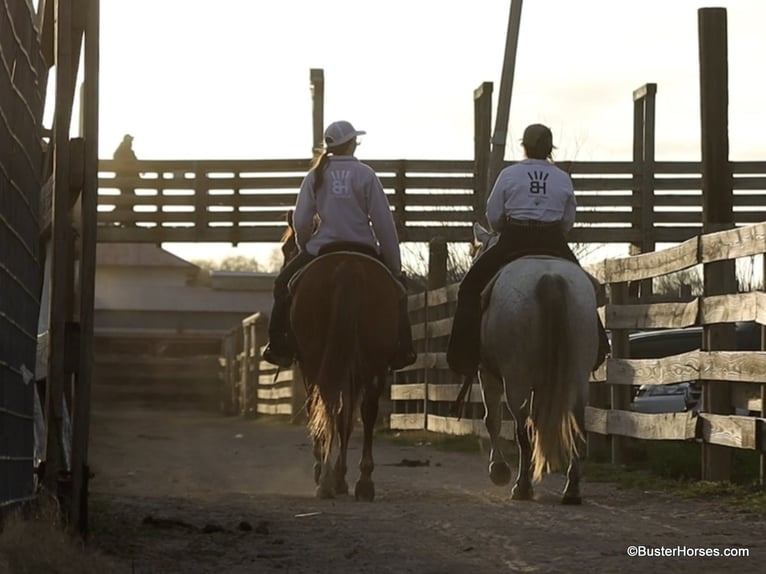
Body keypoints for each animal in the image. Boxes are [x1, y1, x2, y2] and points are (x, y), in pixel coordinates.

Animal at [282, 216, 403, 500]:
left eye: (285, 249)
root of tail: (349, 266)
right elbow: (345, 420)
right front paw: (340, 476)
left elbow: (333, 415)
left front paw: (330, 473)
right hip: (372, 363)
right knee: (366, 411)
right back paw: (363, 481)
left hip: (316, 359)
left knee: (324, 404)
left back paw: (326, 478)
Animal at [472, 222, 598, 504]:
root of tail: (550, 279)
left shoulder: (487, 373)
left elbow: (492, 419)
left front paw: (498, 470)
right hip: (576, 375)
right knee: (575, 423)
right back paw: (571, 489)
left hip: (515, 380)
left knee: (522, 429)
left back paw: (522, 486)